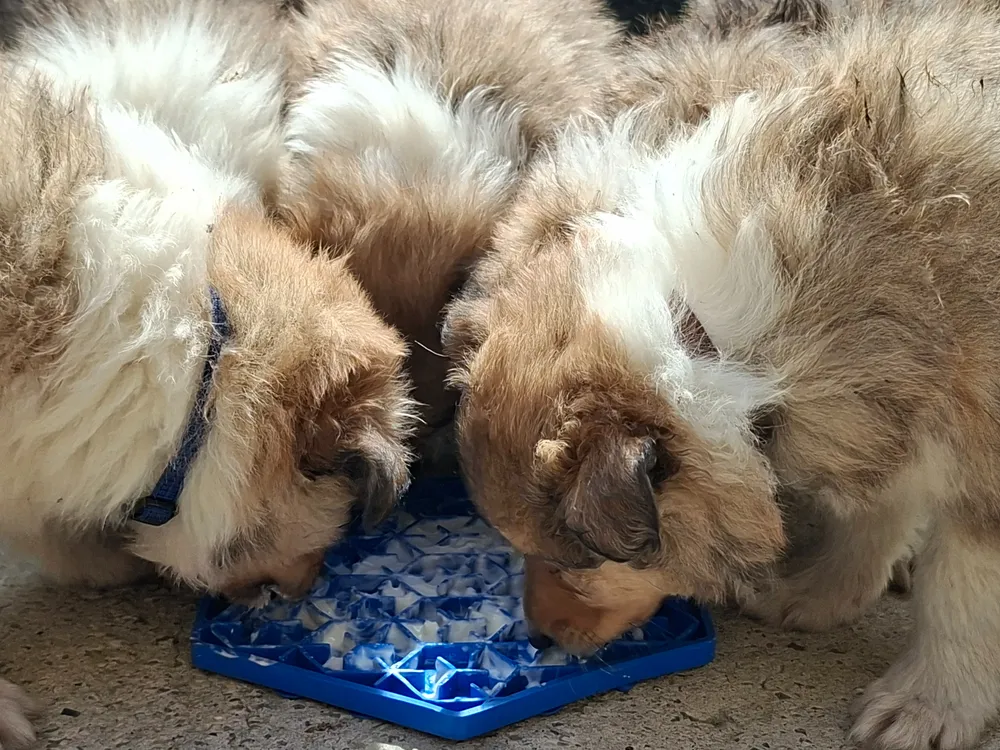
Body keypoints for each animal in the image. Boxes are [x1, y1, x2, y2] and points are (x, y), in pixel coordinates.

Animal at [443, 1, 1000, 747]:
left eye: (572, 563)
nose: (537, 639)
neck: (708, 336)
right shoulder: (879, 404)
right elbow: (875, 500)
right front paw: (820, 591)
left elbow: (963, 591)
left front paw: (928, 704)